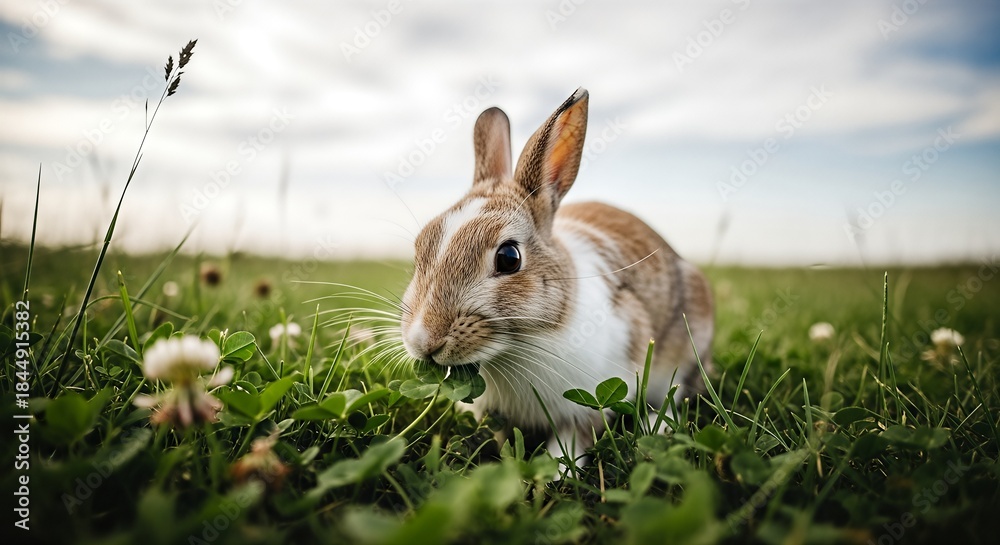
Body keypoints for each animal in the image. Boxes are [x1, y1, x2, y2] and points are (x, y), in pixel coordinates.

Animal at [399, 88, 714, 463]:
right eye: (420, 248)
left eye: (509, 258)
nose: (423, 341)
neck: (512, 348)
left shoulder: (589, 403)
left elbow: (569, 444)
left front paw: (552, 473)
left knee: (677, 397)